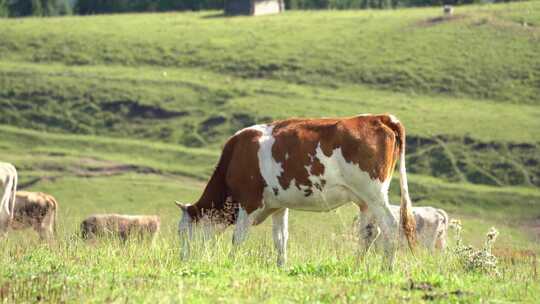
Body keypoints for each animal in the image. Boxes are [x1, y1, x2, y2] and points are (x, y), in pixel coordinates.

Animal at [177, 113, 418, 268]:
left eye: (181, 232)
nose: (181, 260)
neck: (236, 156)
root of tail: (380, 117)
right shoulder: (277, 206)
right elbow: (280, 239)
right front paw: (281, 267)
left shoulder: (249, 202)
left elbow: (238, 237)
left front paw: (230, 263)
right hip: (364, 200)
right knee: (369, 233)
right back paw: (355, 266)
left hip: (374, 194)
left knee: (391, 227)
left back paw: (387, 268)